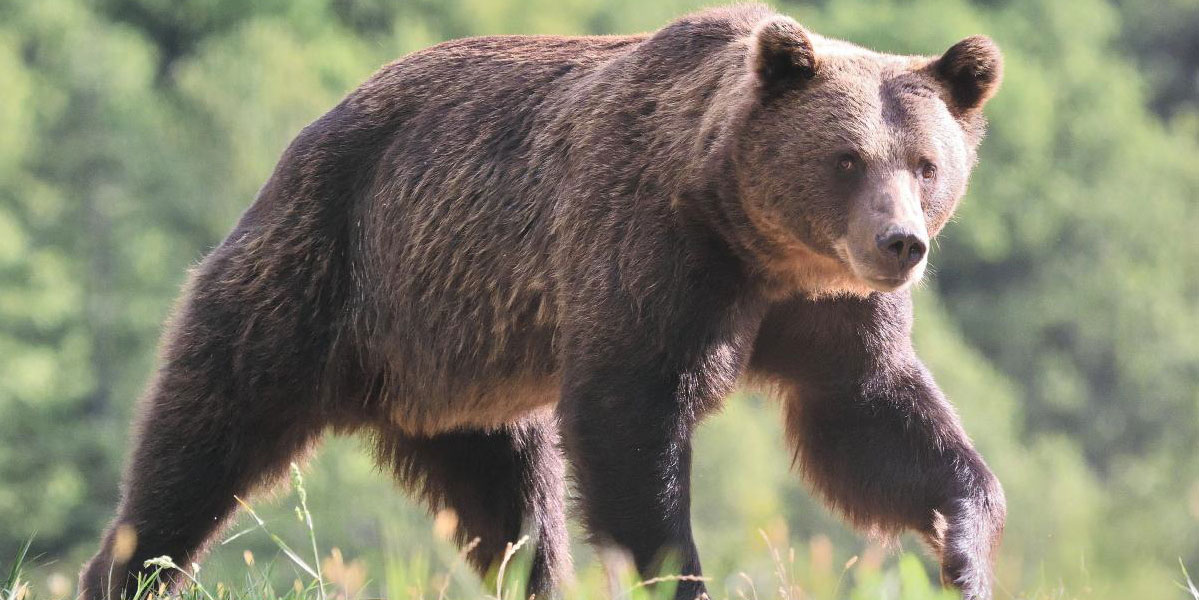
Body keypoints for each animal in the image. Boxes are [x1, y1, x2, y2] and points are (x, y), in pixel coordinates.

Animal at [79, 4, 1006, 600]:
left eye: (926, 164)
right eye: (847, 158)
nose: (899, 243)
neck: (754, 243)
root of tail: (294, 149)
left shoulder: (825, 313)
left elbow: (868, 423)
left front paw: (961, 551)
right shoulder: (648, 253)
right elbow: (630, 418)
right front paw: (675, 573)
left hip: (464, 376)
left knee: (515, 513)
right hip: (314, 285)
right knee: (198, 448)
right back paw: (126, 571)